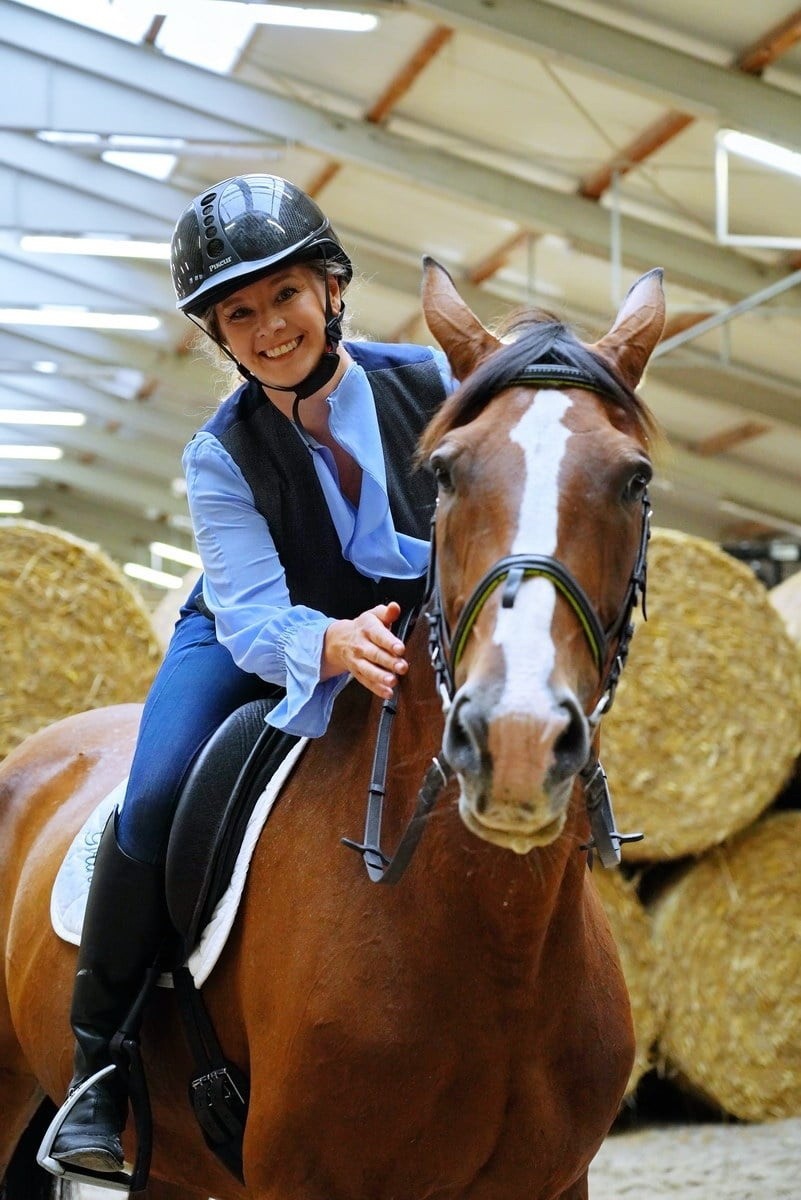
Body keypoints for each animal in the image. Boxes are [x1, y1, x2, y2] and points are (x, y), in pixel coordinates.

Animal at [0, 255, 661, 1200]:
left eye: (634, 479)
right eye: (446, 473)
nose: (517, 743)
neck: (494, 935)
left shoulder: (553, 1180)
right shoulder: (301, 1179)